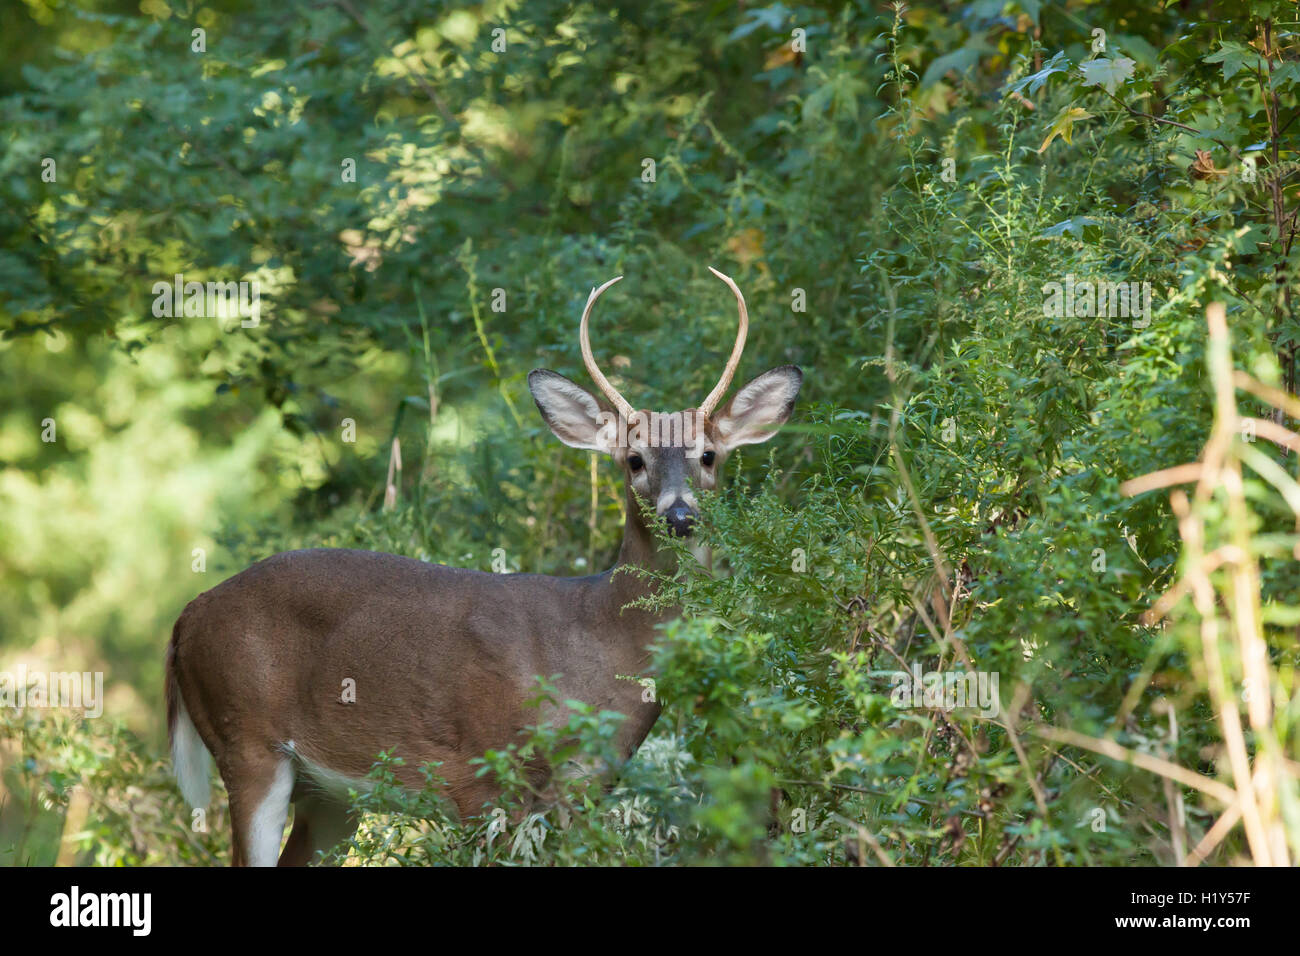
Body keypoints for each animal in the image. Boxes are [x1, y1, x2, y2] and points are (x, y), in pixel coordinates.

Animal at [163, 265, 800, 863]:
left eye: (709, 455)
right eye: (635, 459)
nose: (680, 515)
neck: (599, 636)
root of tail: (186, 616)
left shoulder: (588, 785)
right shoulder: (480, 775)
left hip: (328, 795)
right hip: (247, 739)